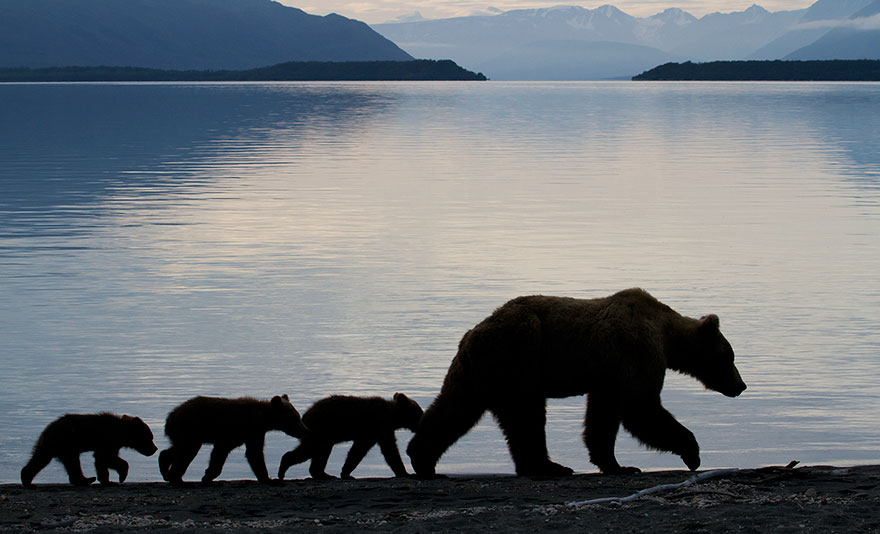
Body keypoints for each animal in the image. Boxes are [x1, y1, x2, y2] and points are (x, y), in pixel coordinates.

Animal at [21, 413, 158, 488]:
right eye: (149, 438)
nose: (155, 449)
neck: (121, 433)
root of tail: (47, 430)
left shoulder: (110, 444)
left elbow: (101, 461)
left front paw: (107, 480)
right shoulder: (108, 440)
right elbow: (106, 457)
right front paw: (121, 476)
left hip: (55, 446)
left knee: (42, 459)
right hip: (65, 443)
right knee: (71, 462)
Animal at [158, 394, 309, 486]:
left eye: (298, 416)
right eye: (295, 419)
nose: (306, 430)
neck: (263, 419)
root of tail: (170, 416)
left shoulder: (249, 434)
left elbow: (225, 453)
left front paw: (208, 475)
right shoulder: (245, 430)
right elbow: (253, 453)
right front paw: (269, 479)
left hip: (186, 434)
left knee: (177, 449)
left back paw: (165, 468)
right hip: (190, 429)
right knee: (186, 452)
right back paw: (178, 479)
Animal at [277, 393, 423, 480]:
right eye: (419, 412)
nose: (422, 422)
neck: (393, 417)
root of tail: (304, 416)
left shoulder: (376, 432)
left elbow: (364, 450)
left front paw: (345, 472)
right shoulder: (377, 426)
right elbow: (386, 450)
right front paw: (406, 473)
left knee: (320, 453)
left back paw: (323, 474)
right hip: (321, 430)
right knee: (311, 449)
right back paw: (284, 466)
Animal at [406, 288, 746, 478]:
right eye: (729, 356)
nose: (741, 385)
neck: (666, 334)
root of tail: (473, 332)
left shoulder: (609, 375)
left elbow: (603, 417)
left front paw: (616, 464)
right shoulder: (638, 351)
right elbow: (641, 407)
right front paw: (692, 452)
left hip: (479, 370)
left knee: (456, 407)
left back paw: (422, 458)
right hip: (519, 354)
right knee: (526, 415)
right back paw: (548, 467)